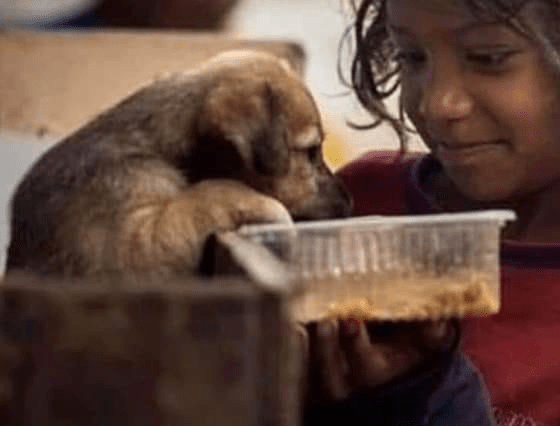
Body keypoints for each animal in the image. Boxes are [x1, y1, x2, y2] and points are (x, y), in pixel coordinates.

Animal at [6, 49, 352, 276]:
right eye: (311, 152)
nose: (350, 203)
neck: (156, 147)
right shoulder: (132, 247)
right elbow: (211, 194)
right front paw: (272, 213)